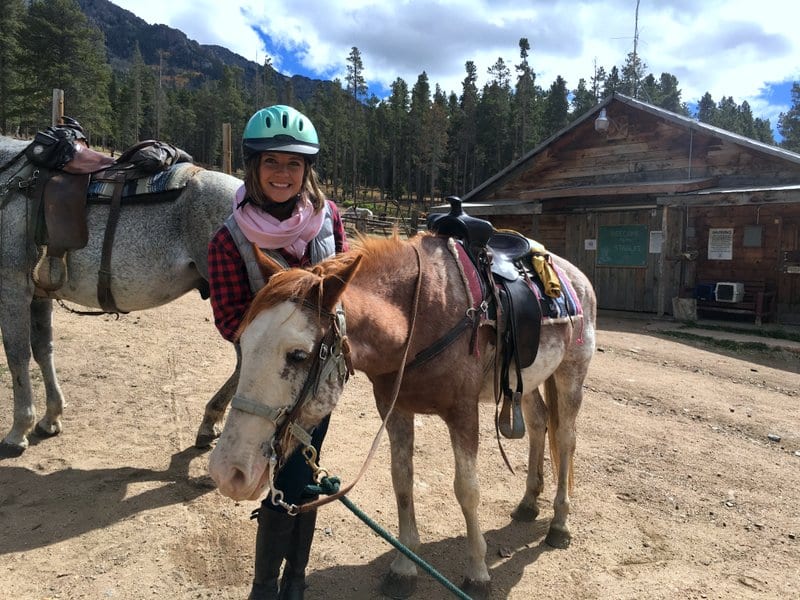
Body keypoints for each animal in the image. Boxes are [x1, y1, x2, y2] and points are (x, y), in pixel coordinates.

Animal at [2, 135, 241, 454]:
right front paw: (50, 418)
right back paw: (210, 423)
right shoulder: (40, 295)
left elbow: (17, 357)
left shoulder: (12, 288)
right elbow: (43, 351)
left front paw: (18, 431)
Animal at [206, 232, 592, 596]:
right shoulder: (395, 411)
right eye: (242, 343)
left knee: (566, 440)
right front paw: (404, 568)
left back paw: (560, 523)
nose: (229, 472)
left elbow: (467, 490)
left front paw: (478, 574)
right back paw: (528, 503)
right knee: (540, 424)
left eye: (298, 355)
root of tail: (577, 276)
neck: (419, 317)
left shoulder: (463, 412)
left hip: (571, 374)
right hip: (528, 381)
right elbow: (402, 481)